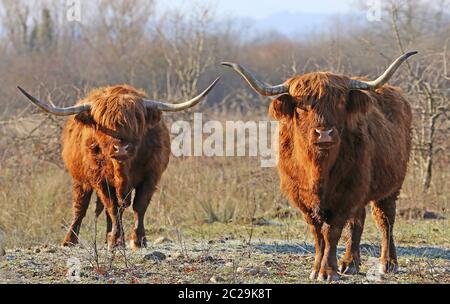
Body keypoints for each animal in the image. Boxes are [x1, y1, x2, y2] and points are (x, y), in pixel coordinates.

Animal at [18, 78, 219, 249]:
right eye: (103, 123)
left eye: (136, 121)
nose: (121, 149)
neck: (123, 170)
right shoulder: (99, 180)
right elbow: (112, 207)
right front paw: (116, 240)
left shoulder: (151, 176)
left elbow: (139, 206)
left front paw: (137, 240)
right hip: (80, 180)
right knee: (80, 208)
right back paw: (70, 241)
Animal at [223, 51, 416, 280]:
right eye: (302, 106)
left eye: (340, 102)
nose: (324, 134)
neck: (318, 169)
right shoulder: (303, 198)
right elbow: (317, 233)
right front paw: (316, 269)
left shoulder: (345, 195)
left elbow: (331, 232)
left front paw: (328, 271)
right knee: (358, 220)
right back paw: (350, 263)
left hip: (391, 185)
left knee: (385, 219)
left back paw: (388, 263)